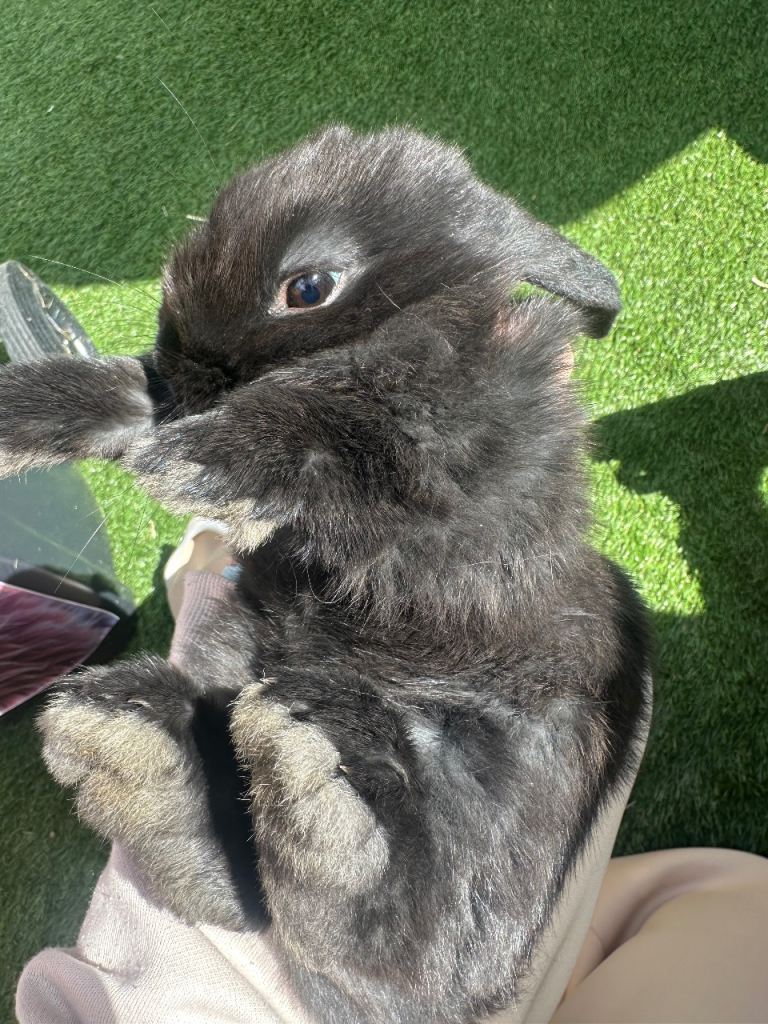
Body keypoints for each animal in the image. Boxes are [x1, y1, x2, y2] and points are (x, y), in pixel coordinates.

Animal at [0, 127, 650, 1024]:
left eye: (307, 288)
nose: (186, 373)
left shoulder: (453, 451)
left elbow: (344, 413)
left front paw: (201, 460)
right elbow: (116, 394)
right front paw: (25, 411)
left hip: (518, 771)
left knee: (406, 945)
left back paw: (314, 781)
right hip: (236, 674)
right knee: (248, 885)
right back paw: (135, 750)